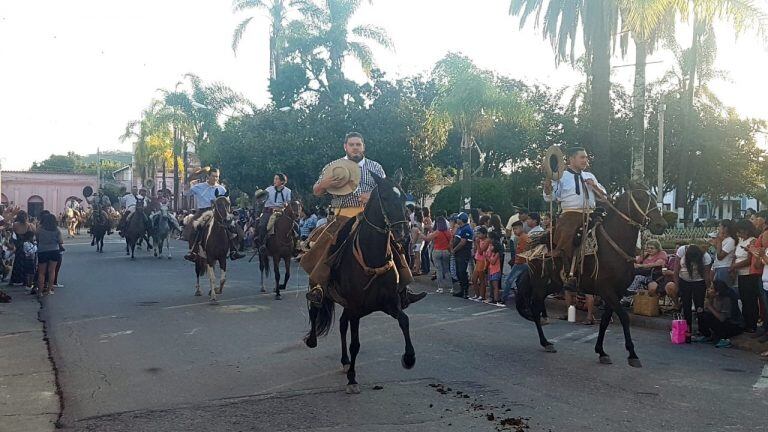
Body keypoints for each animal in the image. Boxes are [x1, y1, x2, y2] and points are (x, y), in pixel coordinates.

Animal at [304, 170, 420, 394]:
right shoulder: (356, 309)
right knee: (315, 310)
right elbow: (355, 344)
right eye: (385, 197)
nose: (403, 235)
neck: (371, 256)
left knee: (341, 325)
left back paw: (345, 361)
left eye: (404, 198)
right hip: (318, 287)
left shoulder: (389, 304)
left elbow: (405, 321)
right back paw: (312, 340)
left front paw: (409, 358)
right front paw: (352, 380)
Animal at [512, 182, 668, 368]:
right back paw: (546, 343)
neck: (613, 246)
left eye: (653, 197)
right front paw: (632, 354)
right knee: (535, 308)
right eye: (640, 197)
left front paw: (601, 351)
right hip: (540, 284)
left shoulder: (617, 292)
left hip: (552, 284)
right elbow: (624, 317)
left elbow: (606, 320)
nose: (661, 225)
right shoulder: (607, 290)